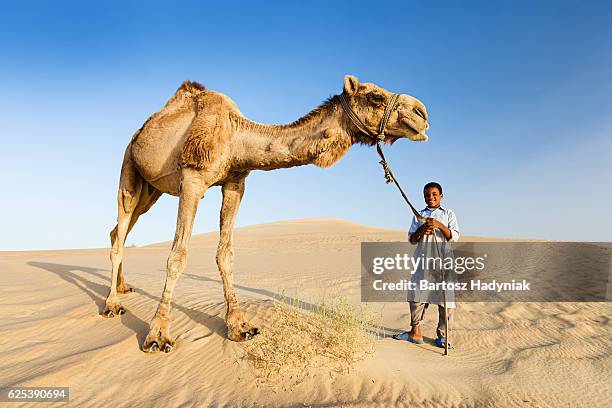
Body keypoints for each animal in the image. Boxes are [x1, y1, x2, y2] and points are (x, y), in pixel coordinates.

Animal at [105, 75, 428, 352]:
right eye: (376, 96)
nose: (422, 112)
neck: (236, 138)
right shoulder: (193, 179)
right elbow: (177, 256)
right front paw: (157, 335)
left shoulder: (235, 182)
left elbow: (226, 254)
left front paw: (240, 327)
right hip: (129, 168)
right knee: (121, 227)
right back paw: (111, 304)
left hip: (152, 189)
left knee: (117, 231)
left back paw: (122, 287)